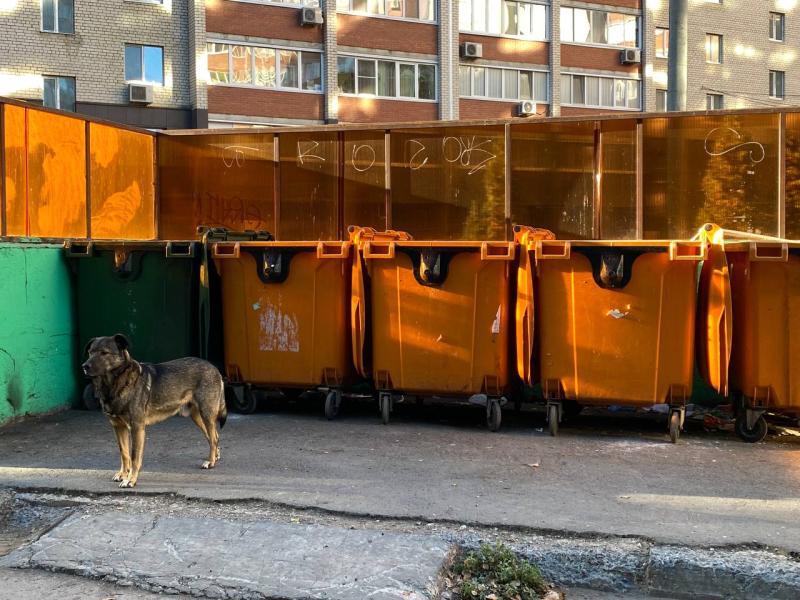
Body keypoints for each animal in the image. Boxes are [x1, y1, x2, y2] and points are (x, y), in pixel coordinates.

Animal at [83, 336, 227, 490]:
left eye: (104, 353)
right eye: (90, 352)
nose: (84, 366)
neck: (116, 384)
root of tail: (214, 367)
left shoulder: (137, 428)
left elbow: (134, 456)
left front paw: (130, 480)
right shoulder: (118, 427)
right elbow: (124, 453)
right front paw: (123, 474)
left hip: (206, 413)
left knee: (213, 438)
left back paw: (211, 462)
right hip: (197, 416)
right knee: (213, 436)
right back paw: (215, 456)